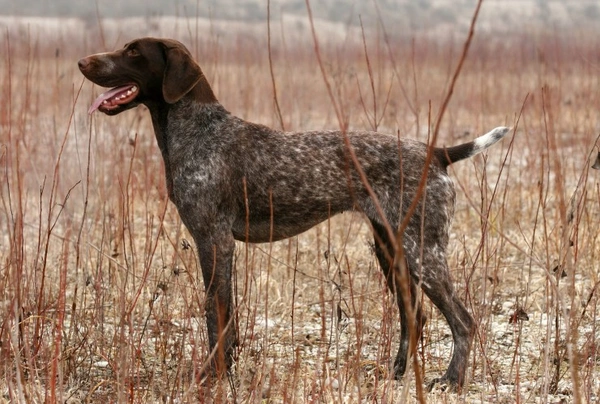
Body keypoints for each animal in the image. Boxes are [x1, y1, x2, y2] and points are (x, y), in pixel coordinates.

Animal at [78, 38, 510, 392]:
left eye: (133, 51)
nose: (82, 61)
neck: (197, 132)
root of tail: (437, 154)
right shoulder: (217, 245)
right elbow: (227, 318)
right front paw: (227, 372)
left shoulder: (214, 242)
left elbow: (217, 317)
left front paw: (211, 376)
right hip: (392, 250)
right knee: (414, 318)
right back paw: (398, 373)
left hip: (423, 252)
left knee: (463, 321)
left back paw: (452, 380)